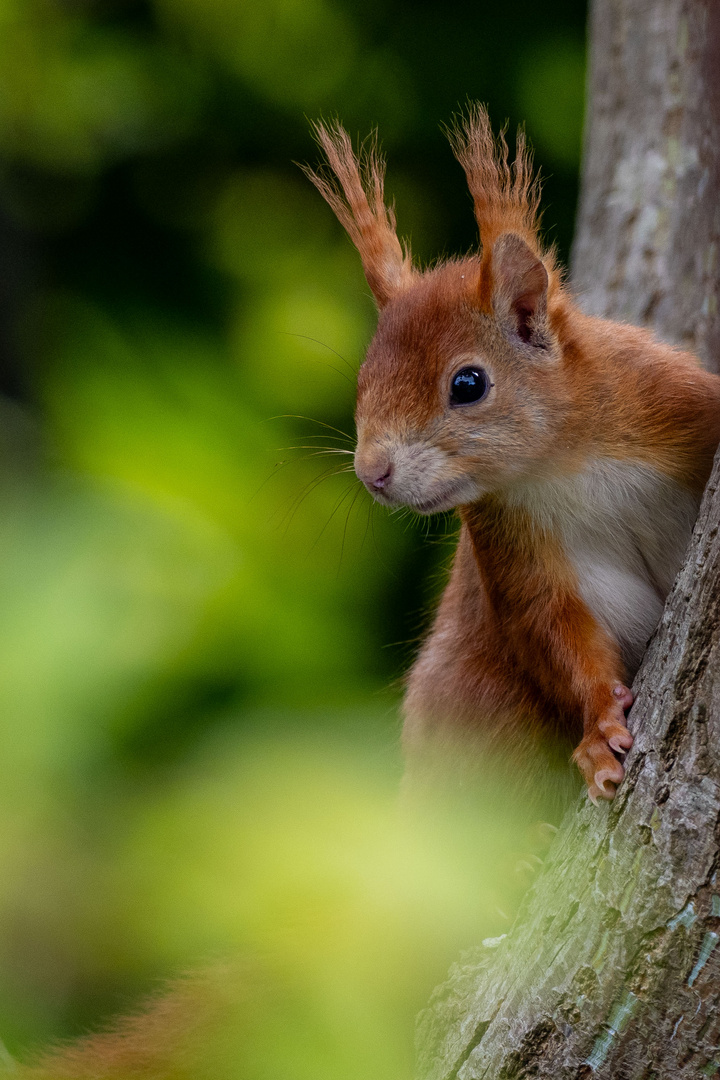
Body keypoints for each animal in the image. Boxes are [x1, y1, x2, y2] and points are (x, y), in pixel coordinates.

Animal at [304, 105, 720, 803]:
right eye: (363, 378)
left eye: (468, 384)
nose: (372, 473)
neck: (563, 463)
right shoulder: (509, 543)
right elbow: (556, 634)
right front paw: (599, 733)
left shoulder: (668, 398)